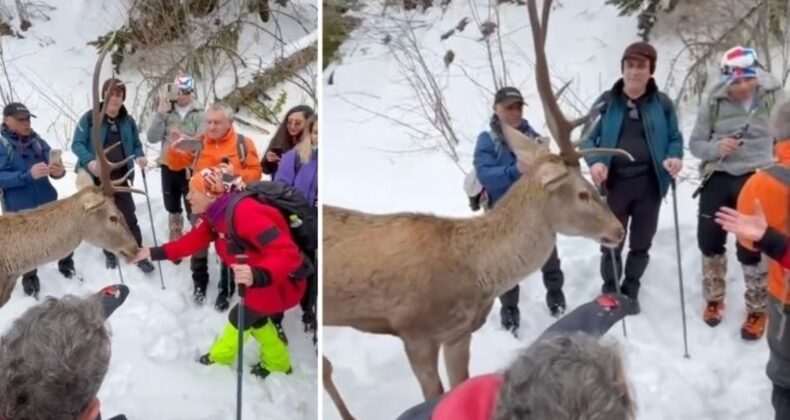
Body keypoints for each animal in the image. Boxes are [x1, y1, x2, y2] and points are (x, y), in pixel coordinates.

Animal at [322, 0, 636, 420]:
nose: (618, 230)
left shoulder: (458, 333)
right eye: (584, 193)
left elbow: (459, 383)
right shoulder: (414, 331)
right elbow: (433, 392)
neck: (473, 273)